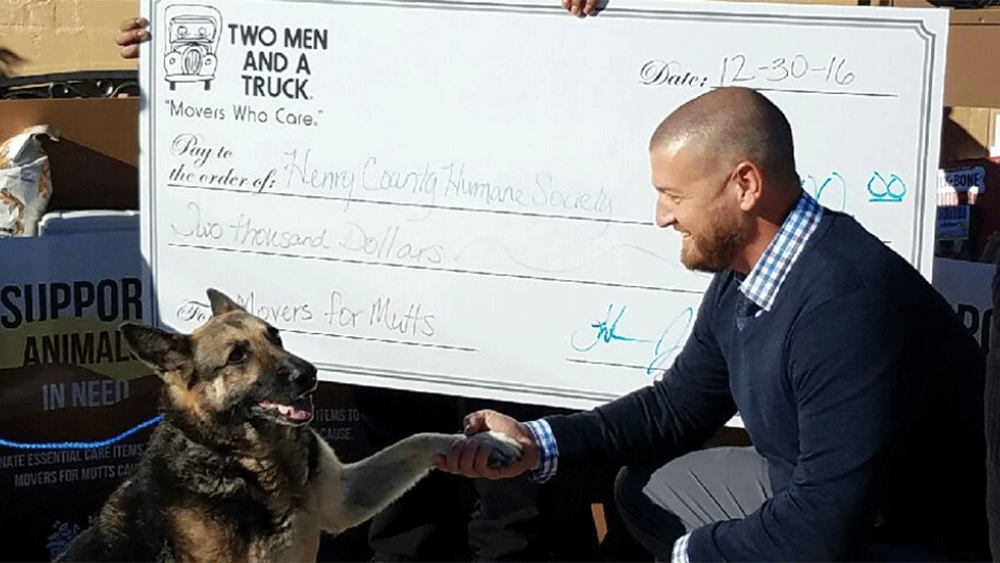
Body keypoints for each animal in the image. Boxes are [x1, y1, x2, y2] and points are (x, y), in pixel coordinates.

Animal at [56, 288, 524, 560]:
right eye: (237, 356)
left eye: (276, 336)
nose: (310, 374)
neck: (257, 461)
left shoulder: (342, 499)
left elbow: (418, 438)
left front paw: (490, 439)